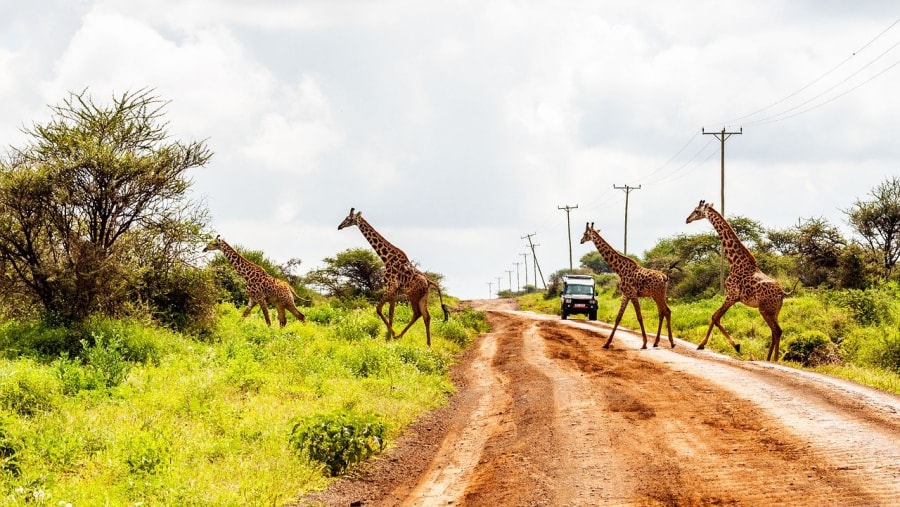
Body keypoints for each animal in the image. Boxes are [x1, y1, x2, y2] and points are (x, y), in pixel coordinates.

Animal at [338, 208, 450, 348]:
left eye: (348, 219)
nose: (339, 226)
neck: (386, 258)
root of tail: (429, 281)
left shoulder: (391, 286)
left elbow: (379, 309)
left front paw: (391, 334)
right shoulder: (395, 290)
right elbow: (391, 311)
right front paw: (388, 338)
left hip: (413, 295)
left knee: (417, 313)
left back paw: (400, 336)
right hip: (423, 296)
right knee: (426, 316)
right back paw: (428, 344)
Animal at [580, 222, 672, 350]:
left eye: (585, 233)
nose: (581, 240)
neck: (620, 269)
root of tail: (664, 277)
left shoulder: (632, 293)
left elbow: (639, 316)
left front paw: (644, 343)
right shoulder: (625, 294)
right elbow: (618, 317)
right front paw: (607, 343)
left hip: (658, 294)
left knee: (666, 311)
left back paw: (671, 343)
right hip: (658, 295)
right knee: (663, 312)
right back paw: (657, 342)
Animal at [684, 200, 792, 364]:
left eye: (696, 211)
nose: (687, 219)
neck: (734, 262)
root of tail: (782, 293)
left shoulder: (732, 295)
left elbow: (715, 316)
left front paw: (732, 346)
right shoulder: (734, 298)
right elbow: (715, 316)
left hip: (765, 310)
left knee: (777, 330)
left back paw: (773, 360)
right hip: (775, 311)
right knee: (775, 331)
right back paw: (768, 359)